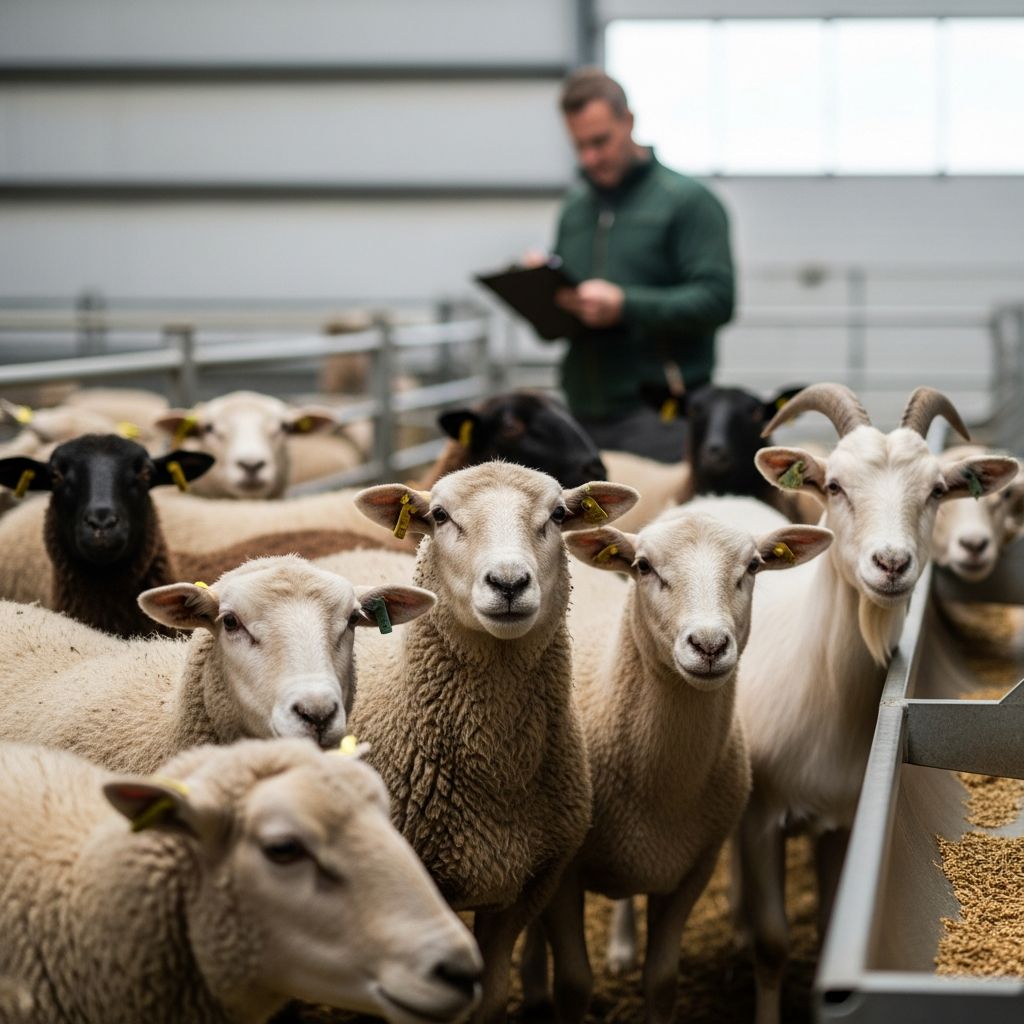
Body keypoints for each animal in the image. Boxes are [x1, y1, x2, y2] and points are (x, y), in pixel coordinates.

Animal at [519, 504, 833, 1023]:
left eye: (752, 567)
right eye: (644, 566)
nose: (708, 645)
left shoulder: (691, 871)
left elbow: (662, 982)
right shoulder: (565, 877)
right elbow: (574, 985)